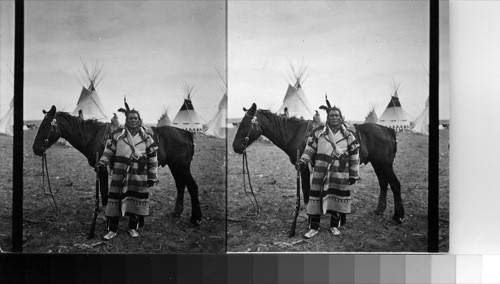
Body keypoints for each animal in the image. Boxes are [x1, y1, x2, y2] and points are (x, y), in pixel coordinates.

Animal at [31, 105, 201, 225]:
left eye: (46, 126)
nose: (35, 149)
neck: (92, 136)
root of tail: (185, 133)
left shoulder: (102, 170)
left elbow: (104, 190)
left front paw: (104, 214)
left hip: (182, 167)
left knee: (192, 187)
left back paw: (196, 218)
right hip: (175, 167)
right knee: (180, 186)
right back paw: (176, 212)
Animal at [232, 102, 404, 224]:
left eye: (245, 124)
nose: (235, 146)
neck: (294, 133)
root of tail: (388, 130)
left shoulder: (303, 167)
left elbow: (305, 188)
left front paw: (304, 213)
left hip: (385, 165)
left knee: (395, 185)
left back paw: (398, 216)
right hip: (378, 164)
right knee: (384, 183)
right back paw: (380, 210)